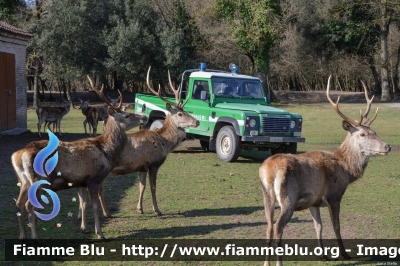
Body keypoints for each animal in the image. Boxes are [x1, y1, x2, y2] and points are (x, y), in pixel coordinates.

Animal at [11, 76, 148, 239]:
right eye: (127, 115)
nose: (145, 117)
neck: (107, 151)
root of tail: (18, 155)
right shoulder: (94, 178)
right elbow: (94, 206)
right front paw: (99, 233)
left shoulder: (81, 181)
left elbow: (83, 203)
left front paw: (84, 228)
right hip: (39, 180)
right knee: (29, 205)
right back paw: (35, 237)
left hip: (23, 181)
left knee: (19, 203)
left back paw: (21, 236)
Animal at [76, 67, 198, 229]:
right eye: (180, 114)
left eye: (187, 111)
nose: (197, 122)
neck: (164, 142)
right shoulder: (153, 164)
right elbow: (153, 187)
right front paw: (157, 210)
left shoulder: (142, 167)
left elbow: (142, 186)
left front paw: (139, 209)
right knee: (98, 190)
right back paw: (104, 214)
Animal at [260, 76, 390, 264]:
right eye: (363, 134)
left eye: (375, 131)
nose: (387, 146)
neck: (346, 170)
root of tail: (268, 171)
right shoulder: (334, 195)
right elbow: (336, 226)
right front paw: (344, 253)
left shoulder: (313, 201)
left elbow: (318, 226)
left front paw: (323, 254)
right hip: (288, 198)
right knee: (278, 227)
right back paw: (279, 263)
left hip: (267, 196)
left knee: (269, 226)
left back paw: (265, 262)